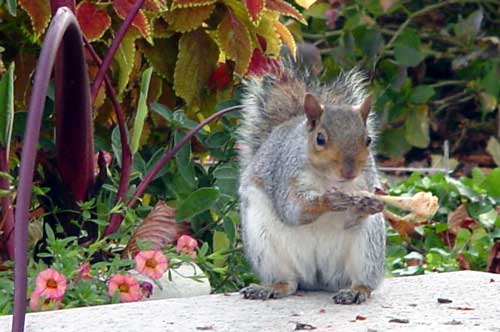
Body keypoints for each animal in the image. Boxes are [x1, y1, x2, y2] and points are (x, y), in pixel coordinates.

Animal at [236, 61, 384, 304]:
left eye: (368, 140)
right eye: (320, 139)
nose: (350, 172)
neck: (329, 180)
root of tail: (318, 278)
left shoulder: (365, 180)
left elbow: (352, 218)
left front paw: (370, 204)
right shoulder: (287, 176)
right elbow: (293, 209)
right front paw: (329, 200)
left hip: (368, 249)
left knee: (361, 279)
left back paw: (356, 290)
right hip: (265, 245)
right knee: (289, 282)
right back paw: (272, 288)